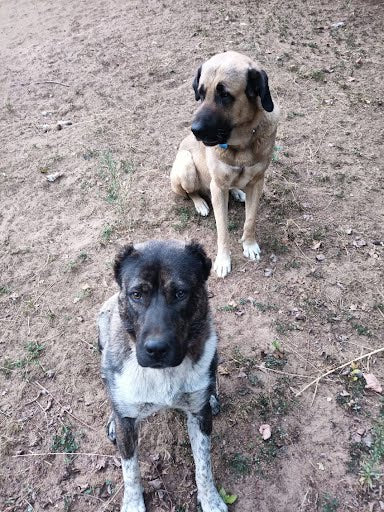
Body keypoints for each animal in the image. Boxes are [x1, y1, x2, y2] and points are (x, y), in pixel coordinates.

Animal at [97, 240, 228, 512]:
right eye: (137, 294)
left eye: (180, 293)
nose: (156, 349)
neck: (163, 373)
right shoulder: (128, 425)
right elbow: (130, 471)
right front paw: (133, 504)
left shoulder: (200, 418)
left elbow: (204, 466)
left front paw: (210, 500)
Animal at [171, 51, 280, 276]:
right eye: (201, 93)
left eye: (225, 95)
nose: (195, 130)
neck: (241, 143)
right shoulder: (218, 187)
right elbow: (222, 230)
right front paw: (223, 260)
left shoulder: (257, 182)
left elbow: (250, 219)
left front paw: (249, 245)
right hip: (186, 167)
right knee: (190, 192)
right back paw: (201, 203)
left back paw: (237, 192)